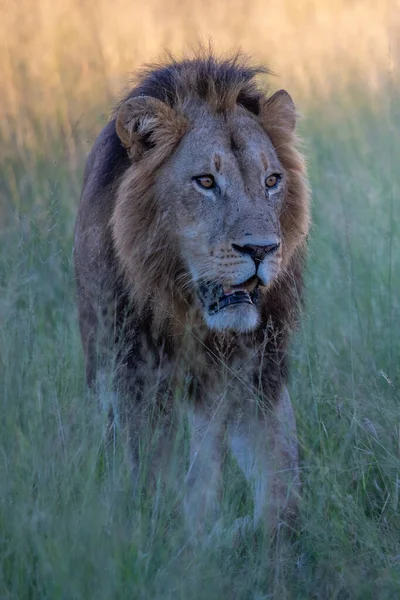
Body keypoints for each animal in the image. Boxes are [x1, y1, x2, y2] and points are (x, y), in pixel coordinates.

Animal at [76, 52, 312, 536]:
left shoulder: (259, 369)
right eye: (205, 182)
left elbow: (279, 476)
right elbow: (148, 468)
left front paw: (272, 536)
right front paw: (163, 528)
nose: (261, 250)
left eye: (272, 180)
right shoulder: (136, 373)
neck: (187, 310)